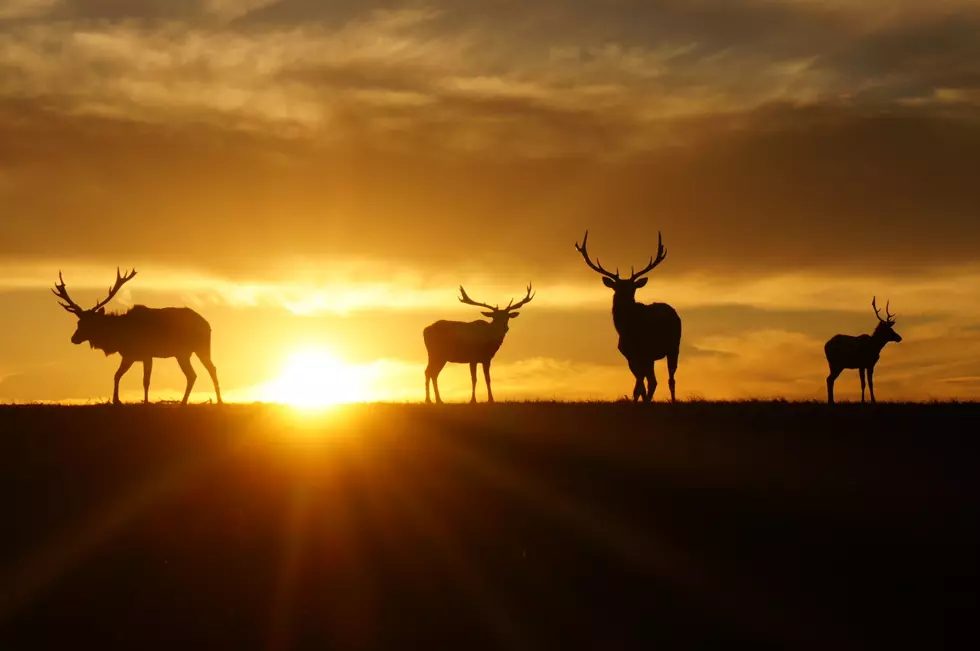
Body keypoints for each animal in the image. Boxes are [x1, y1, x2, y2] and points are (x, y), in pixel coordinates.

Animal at [54, 268, 223, 404]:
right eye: (78, 322)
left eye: (89, 323)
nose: (73, 338)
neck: (119, 336)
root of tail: (208, 325)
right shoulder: (129, 355)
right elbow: (117, 375)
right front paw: (116, 400)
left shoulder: (147, 355)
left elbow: (145, 381)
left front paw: (146, 402)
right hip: (185, 353)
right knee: (197, 373)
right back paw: (190, 402)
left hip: (197, 348)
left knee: (206, 370)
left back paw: (211, 401)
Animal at [576, 229, 680, 402]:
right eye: (616, 287)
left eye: (633, 288)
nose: (625, 299)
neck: (626, 331)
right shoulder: (629, 356)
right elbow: (638, 387)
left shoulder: (644, 353)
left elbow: (641, 385)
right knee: (653, 380)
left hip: (673, 347)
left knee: (668, 379)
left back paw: (671, 400)